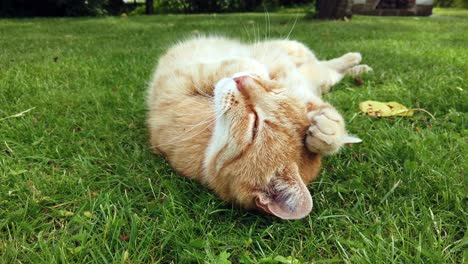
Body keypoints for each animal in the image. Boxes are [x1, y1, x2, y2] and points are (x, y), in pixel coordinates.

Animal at [146, 36, 370, 220]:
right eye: (275, 93)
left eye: (255, 126)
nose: (242, 79)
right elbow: (252, 62)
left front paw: (328, 133)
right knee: (324, 68)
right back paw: (356, 64)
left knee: (326, 69)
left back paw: (356, 65)